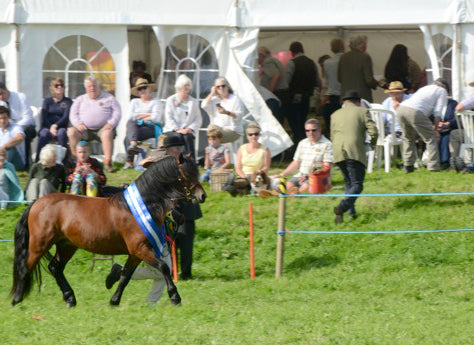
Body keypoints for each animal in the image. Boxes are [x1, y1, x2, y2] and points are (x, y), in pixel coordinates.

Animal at [9, 155, 206, 306]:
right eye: (186, 174)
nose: (202, 196)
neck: (143, 206)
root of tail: (36, 202)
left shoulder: (136, 253)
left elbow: (125, 276)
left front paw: (114, 300)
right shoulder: (141, 249)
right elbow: (164, 267)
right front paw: (175, 297)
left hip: (66, 246)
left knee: (54, 267)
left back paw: (70, 299)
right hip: (39, 244)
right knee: (26, 267)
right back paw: (17, 300)